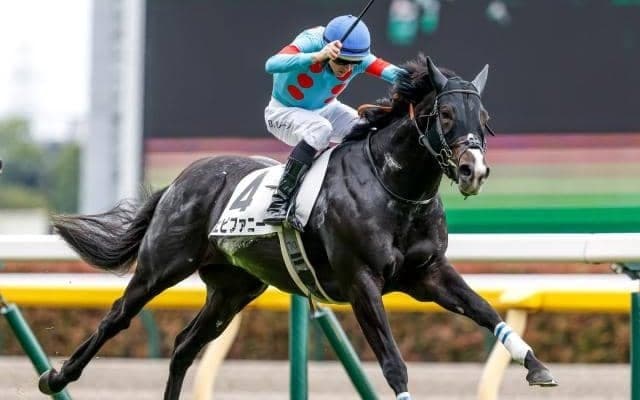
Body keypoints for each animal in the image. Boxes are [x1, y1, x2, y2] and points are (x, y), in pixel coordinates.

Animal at [39, 56, 556, 400]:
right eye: (446, 114)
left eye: (484, 118)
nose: (474, 170)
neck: (392, 186)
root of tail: (182, 179)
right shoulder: (362, 281)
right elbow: (393, 362)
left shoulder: (427, 274)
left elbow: (486, 310)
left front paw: (536, 365)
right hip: (162, 264)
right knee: (117, 316)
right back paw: (56, 377)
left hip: (234, 287)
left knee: (185, 346)